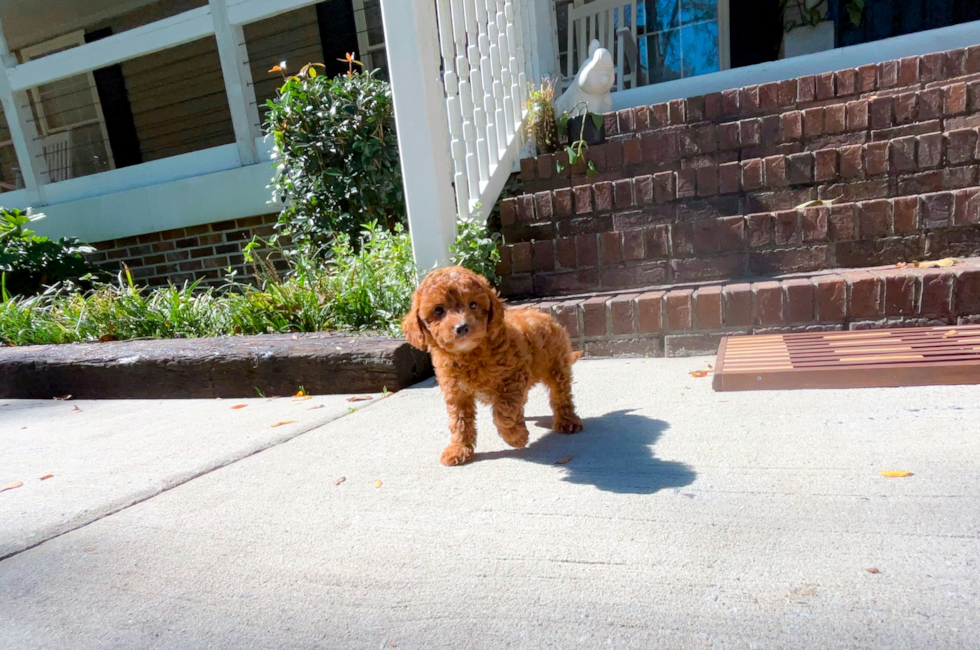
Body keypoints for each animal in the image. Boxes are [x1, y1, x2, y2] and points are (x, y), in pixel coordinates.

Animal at [400, 266, 580, 464]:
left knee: (561, 395)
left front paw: (516, 437)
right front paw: (459, 448)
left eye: (473, 305)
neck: (469, 354)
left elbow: (503, 412)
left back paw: (567, 421)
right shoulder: (456, 392)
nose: (462, 327)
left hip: (556, 366)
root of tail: (545, 315)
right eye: (438, 310)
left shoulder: (512, 379)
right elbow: (459, 422)